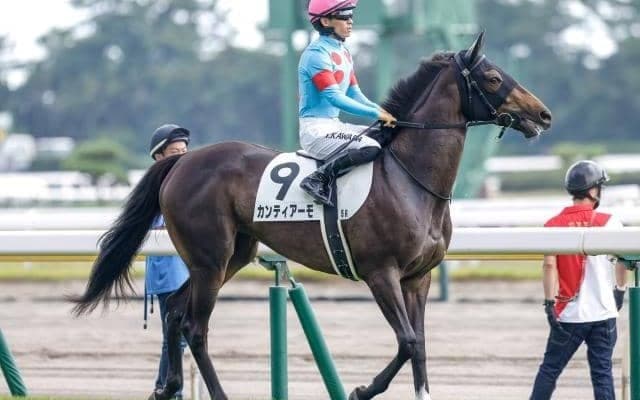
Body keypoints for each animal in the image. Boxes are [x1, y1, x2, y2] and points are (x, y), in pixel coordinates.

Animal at [72, 32, 552, 400]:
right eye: (493, 77)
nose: (543, 114)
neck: (408, 178)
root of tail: (182, 161)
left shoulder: (420, 277)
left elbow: (420, 348)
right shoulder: (381, 273)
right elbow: (407, 342)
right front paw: (361, 390)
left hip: (232, 255)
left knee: (173, 309)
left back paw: (168, 386)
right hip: (210, 257)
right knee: (194, 325)